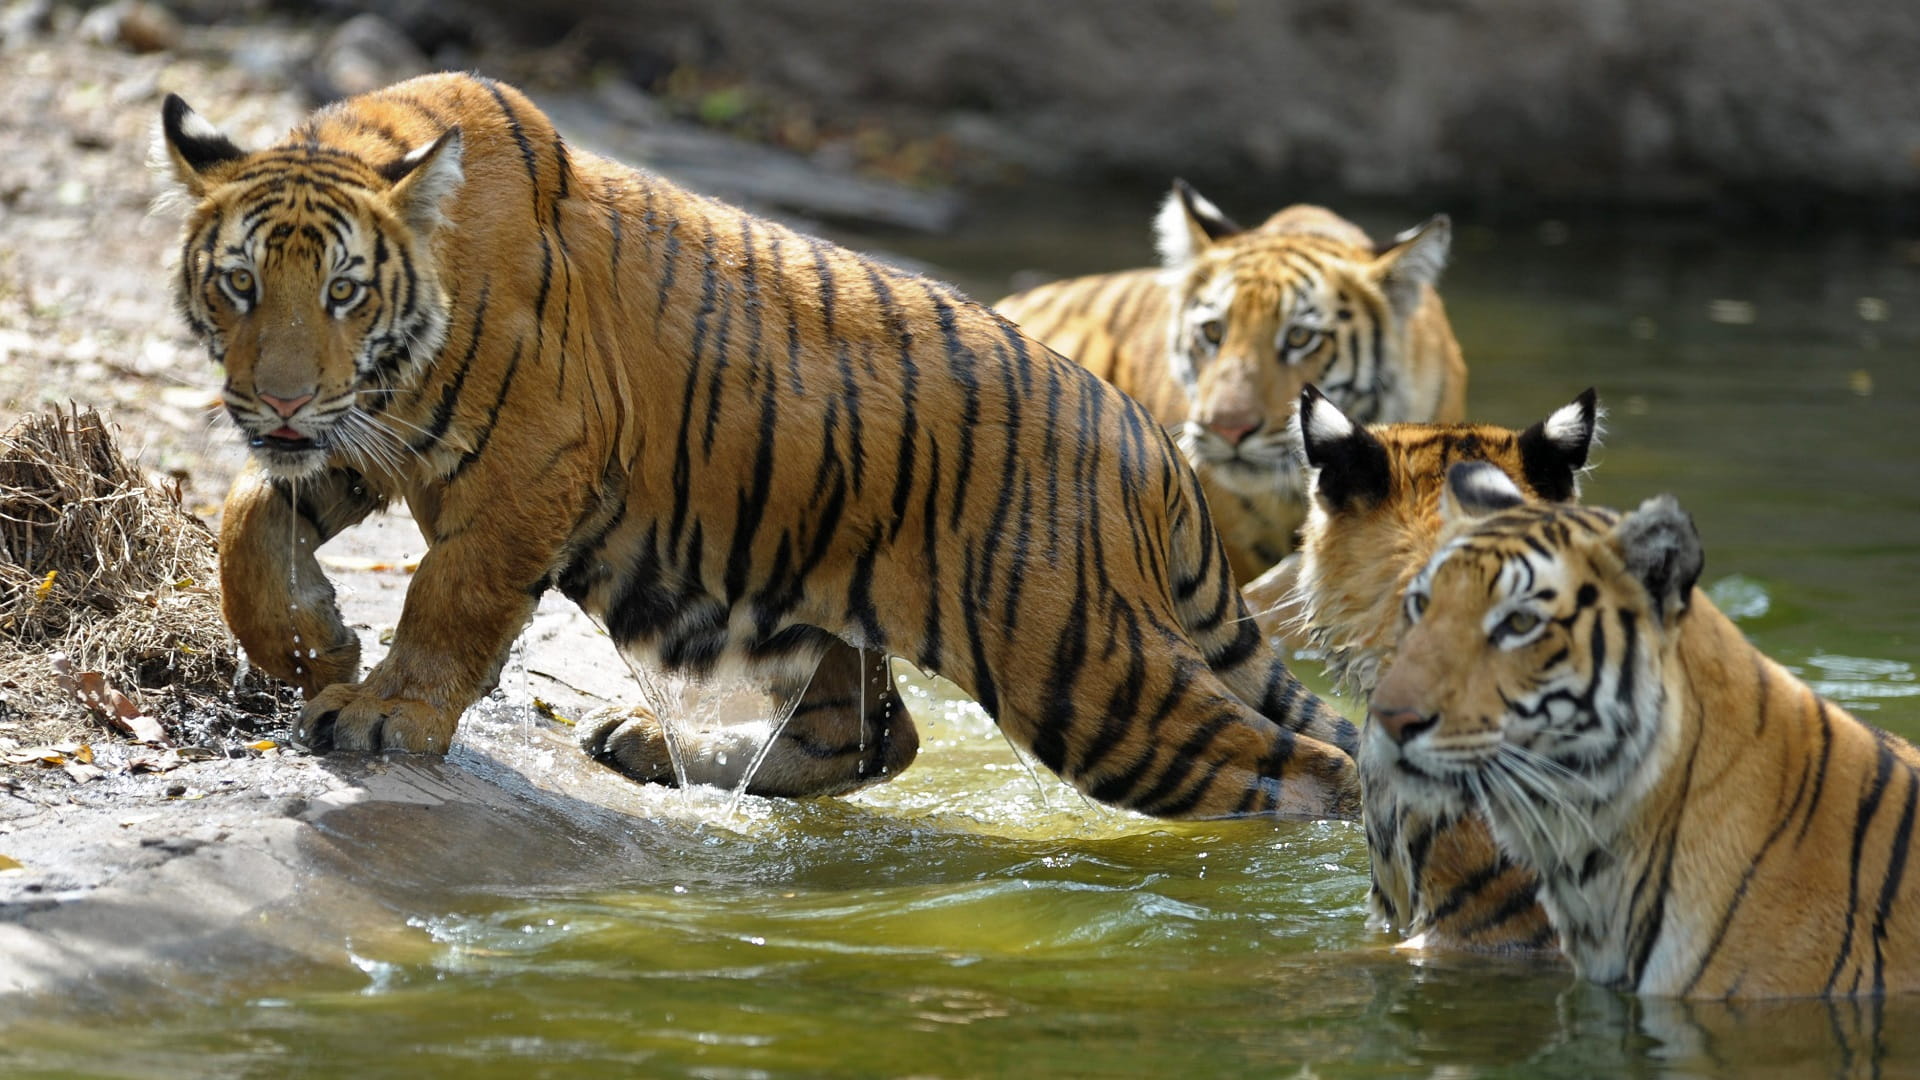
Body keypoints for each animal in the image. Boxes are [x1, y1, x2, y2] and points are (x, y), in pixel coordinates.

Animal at [156, 71, 1360, 820]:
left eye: (346, 291)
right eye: (240, 283)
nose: (276, 402)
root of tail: (1154, 441)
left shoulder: (529, 460)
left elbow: (449, 596)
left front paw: (380, 714)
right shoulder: (362, 430)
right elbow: (247, 522)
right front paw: (310, 646)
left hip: (1086, 667)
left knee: (1310, 766)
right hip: (811, 602)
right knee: (873, 735)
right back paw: (648, 746)